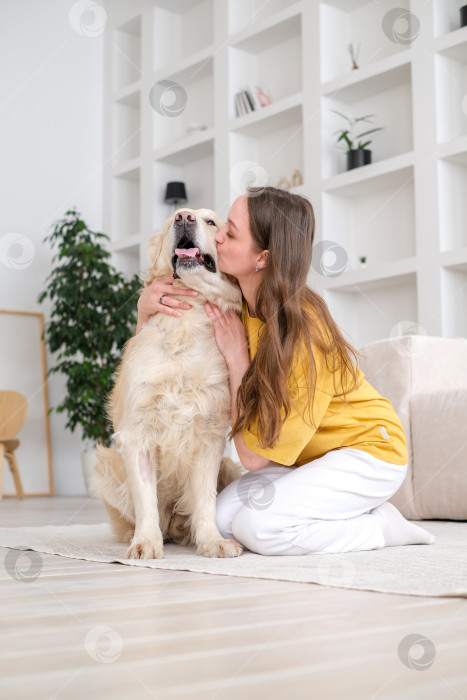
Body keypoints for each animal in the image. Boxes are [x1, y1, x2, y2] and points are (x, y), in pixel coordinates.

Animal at [91, 208, 245, 556]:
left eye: (212, 222)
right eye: (171, 219)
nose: (183, 216)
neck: (185, 325)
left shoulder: (210, 436)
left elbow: (205, 499)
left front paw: (212, 541)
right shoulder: (137, 434)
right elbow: (145, 500)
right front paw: (146, 543)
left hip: (229, 467)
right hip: (106, 465)